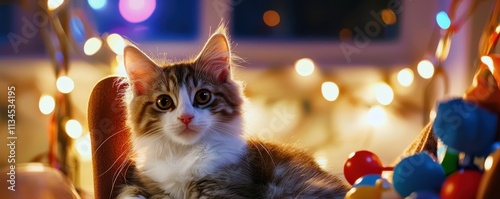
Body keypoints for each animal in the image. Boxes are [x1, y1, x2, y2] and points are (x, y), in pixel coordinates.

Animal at [118, 25, 350, 198]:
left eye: (203, 96)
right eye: (164, 102)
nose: (186, 117)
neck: (184, 154)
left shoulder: (225, 186)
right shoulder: (152, 184)